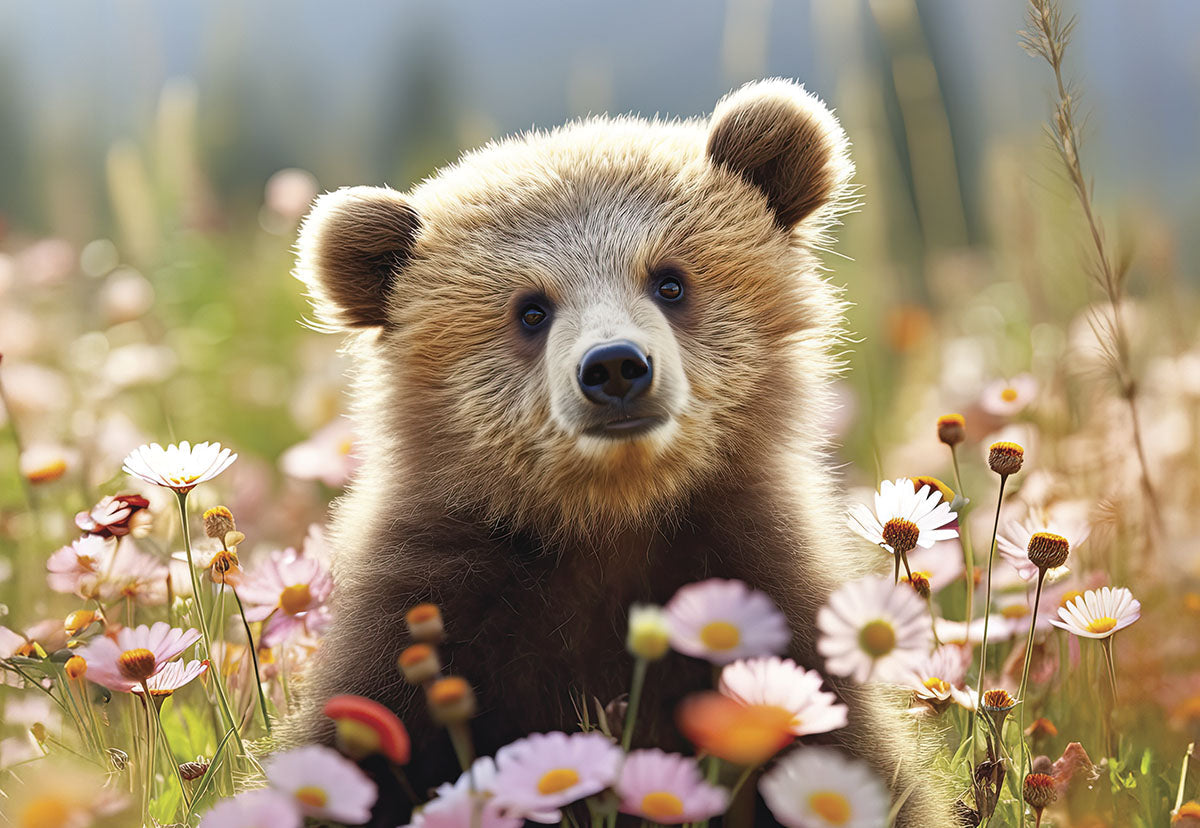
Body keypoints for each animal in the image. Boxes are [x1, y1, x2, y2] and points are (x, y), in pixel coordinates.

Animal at [285, 78, 957, 826]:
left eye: (669, 280)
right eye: (530, 309)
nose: (614, 367)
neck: (609, 522)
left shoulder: (767, 596)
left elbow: (854, 766)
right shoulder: (428, 616)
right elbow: (351, 756)